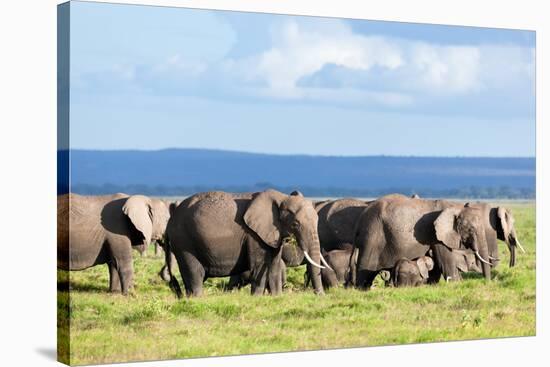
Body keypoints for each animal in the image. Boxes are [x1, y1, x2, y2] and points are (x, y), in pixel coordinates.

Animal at [166, 190, 330, 296]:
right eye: (296, 224)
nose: (320, 295)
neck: (281, 197)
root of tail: (171, 219)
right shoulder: (253, 235)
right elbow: (259, 265)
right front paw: (257, 298)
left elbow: (275, 265)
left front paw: (276, 297)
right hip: (184, 241)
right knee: (194, 273)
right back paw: (197, 298)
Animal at [356, 194, 524, 288]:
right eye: (470, 230)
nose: (487, 283)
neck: (455, 207)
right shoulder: (436, 234)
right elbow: (445, 260)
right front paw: (457, 284)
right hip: (373, 234)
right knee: (364, 271)